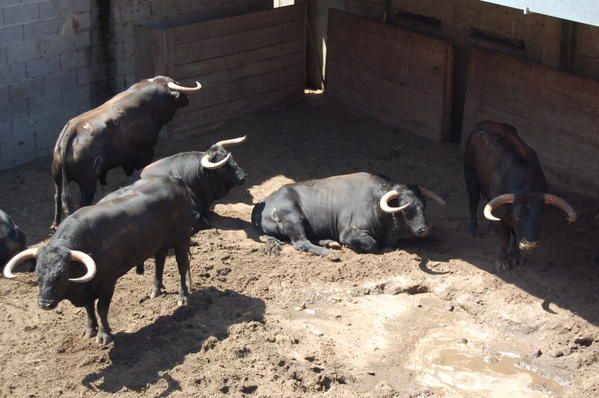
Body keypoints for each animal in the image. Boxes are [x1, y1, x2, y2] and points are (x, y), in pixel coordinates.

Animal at [4, 176, 192, 344]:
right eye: (38, 275)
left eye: (62, 275)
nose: (45, 303)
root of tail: (174, 181)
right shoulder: (87, 287)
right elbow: (89, 308)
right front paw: (90, 329)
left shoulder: (108, 282)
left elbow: (102, 308)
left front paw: (104, 334)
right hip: (159, 243)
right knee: (159, 261)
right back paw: (156, 289)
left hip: (181, 239)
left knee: (182, 267)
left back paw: (183, 296)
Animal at [50, 75, 204, 230]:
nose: (187, 99)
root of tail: (72, 129)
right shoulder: (144, 154)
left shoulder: (126, 162)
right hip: (88, 183)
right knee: (82, 201)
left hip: (57, 177)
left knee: (58, 197)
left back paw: (55, 224)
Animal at [251, 172, 448, 255]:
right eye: (406, 208)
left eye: (423, 205)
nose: (424, 229)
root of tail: (262, 203)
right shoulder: (350, 233)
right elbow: (372, 244)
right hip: (293, 218)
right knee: (301, 242)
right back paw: (329, 252)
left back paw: (329, 242)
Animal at [464, 119, 576, 272]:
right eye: (517, 216)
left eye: (540, 215)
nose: (530, 243)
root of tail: (482, 123)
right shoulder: (503, 215)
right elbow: (505, 237)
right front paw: (502, 261)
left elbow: (515, 235)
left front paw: (516, 256)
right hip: (471, 175)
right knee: (473, 201)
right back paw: (474, 230)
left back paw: (492, 228)